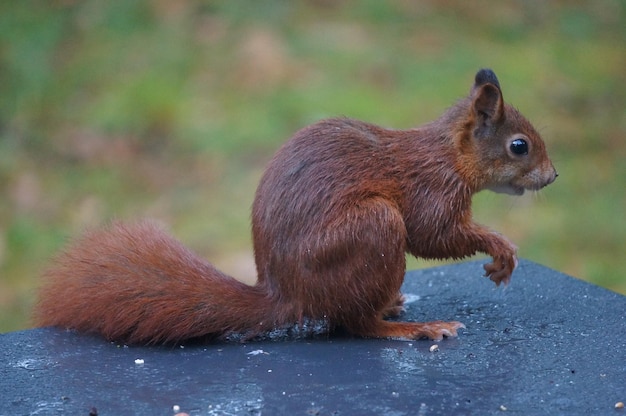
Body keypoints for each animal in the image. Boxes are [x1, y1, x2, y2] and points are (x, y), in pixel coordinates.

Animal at [34, 70, 556, 346]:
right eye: (519, 146)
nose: (552, 177)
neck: (448, 153)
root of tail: (287, 295)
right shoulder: (433, 190)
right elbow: (435, 235)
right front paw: (501, 248)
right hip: (374, 228)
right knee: (357, 324)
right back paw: (414, 328)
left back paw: (395, 305)